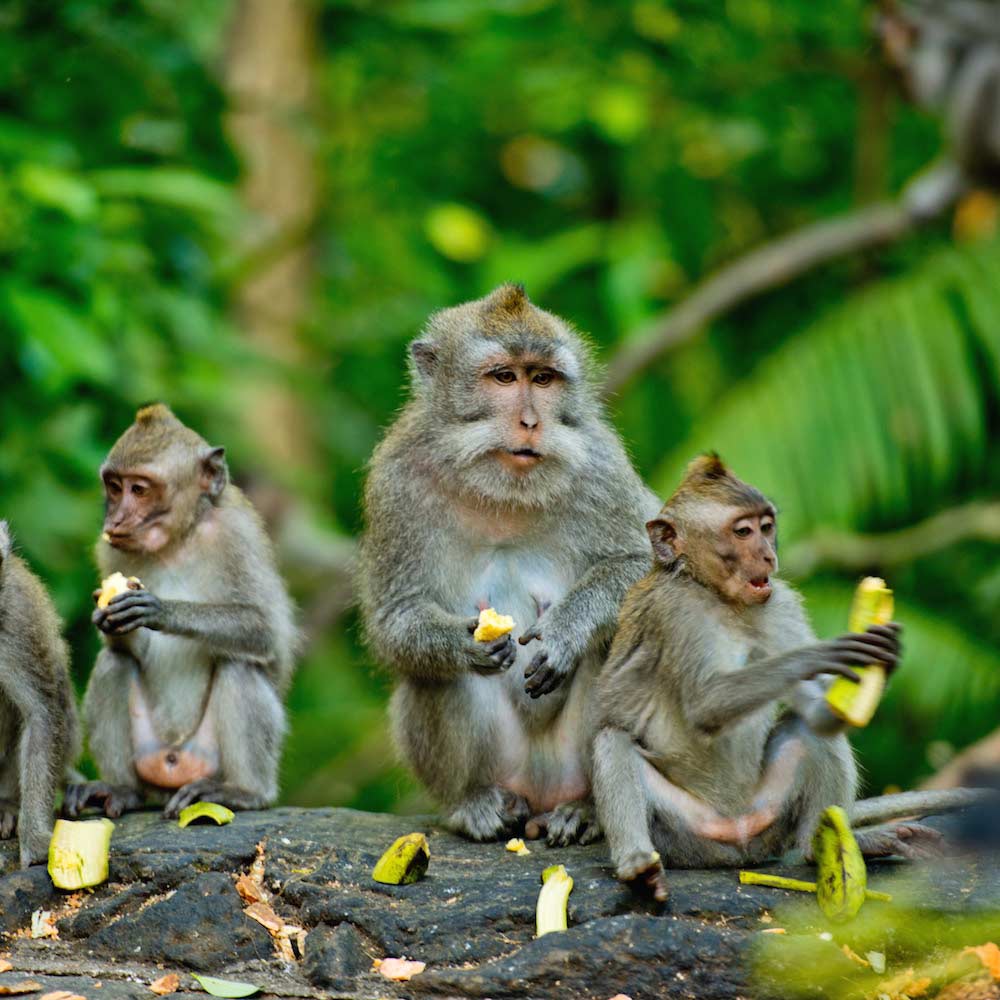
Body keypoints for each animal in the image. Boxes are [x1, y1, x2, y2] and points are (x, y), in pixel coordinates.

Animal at [63, 404, 297, 820]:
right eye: (114, 487)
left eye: (139, 489)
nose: (115, 520)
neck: (177, 542)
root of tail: (173, 764)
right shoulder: (109, 551)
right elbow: (120, 649)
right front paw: (108, 620)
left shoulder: (236, 536)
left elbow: (264, 630)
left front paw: (160, 610)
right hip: (150, 756)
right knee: (113, 664)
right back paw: (122, 789)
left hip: (206, 758)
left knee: (239, 665)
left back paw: (244, 791)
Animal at [359, 283, 661, 844]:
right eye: (504, 377)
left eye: (542, 379)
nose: (531, 422)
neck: (502, 492)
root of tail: (540, 792)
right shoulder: (396, 480)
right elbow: (395, 619)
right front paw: (464, 643)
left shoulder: (602, 466)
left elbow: (645, 566)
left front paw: (565, 631)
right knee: (431, 676)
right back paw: (473, 804)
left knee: (617, 645)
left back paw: (588, 809)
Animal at [590, 455, 982, 901]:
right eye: (742, 531)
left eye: (766, 527)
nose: (766, 557)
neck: (718, 597)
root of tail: (736, 838)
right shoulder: (674, 611)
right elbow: (705, 704)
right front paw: (820, 655)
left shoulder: (779, 603)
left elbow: (818, 717)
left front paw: (884, 657)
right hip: (683, 832)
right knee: (613, 741)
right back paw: (638, 866)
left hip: (770, 817)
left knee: (807, 734)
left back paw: (825, 846)